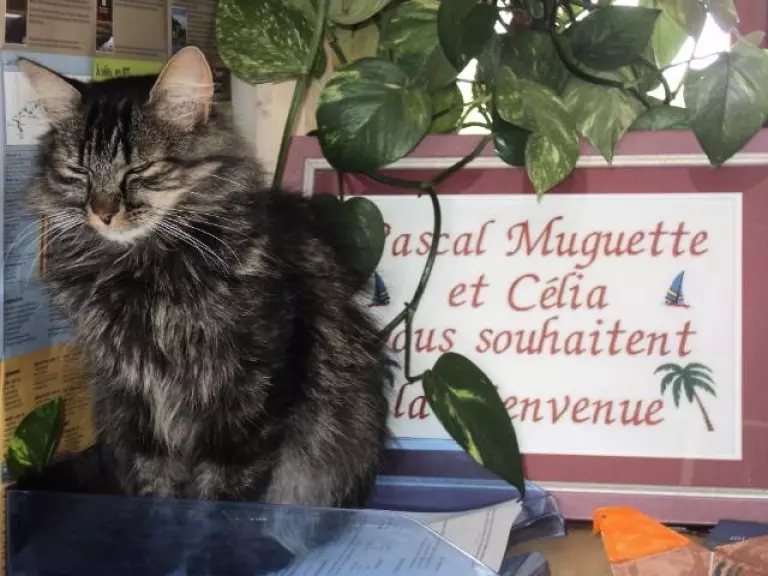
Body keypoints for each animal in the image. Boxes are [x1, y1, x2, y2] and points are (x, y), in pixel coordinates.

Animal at [16, 46, 393, 509]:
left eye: (139, 171)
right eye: (79, 173)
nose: (102, 213)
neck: (142, 272)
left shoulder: (252, 392)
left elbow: (226, 491)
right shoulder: (135, 399)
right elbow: (154, 483)